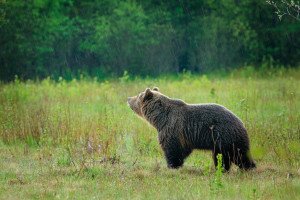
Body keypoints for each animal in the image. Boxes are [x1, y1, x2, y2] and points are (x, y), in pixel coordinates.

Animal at [126, 87, 255, 170]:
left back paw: (247, 167)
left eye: (138, 95)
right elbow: (183, 151)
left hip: (224, 136)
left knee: (237, 155)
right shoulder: (185, 137)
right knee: (226, 156)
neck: (160, 119)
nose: (128, 98)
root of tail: (241, 123)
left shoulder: (172, 128)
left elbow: (172, 149)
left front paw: (171, 165)